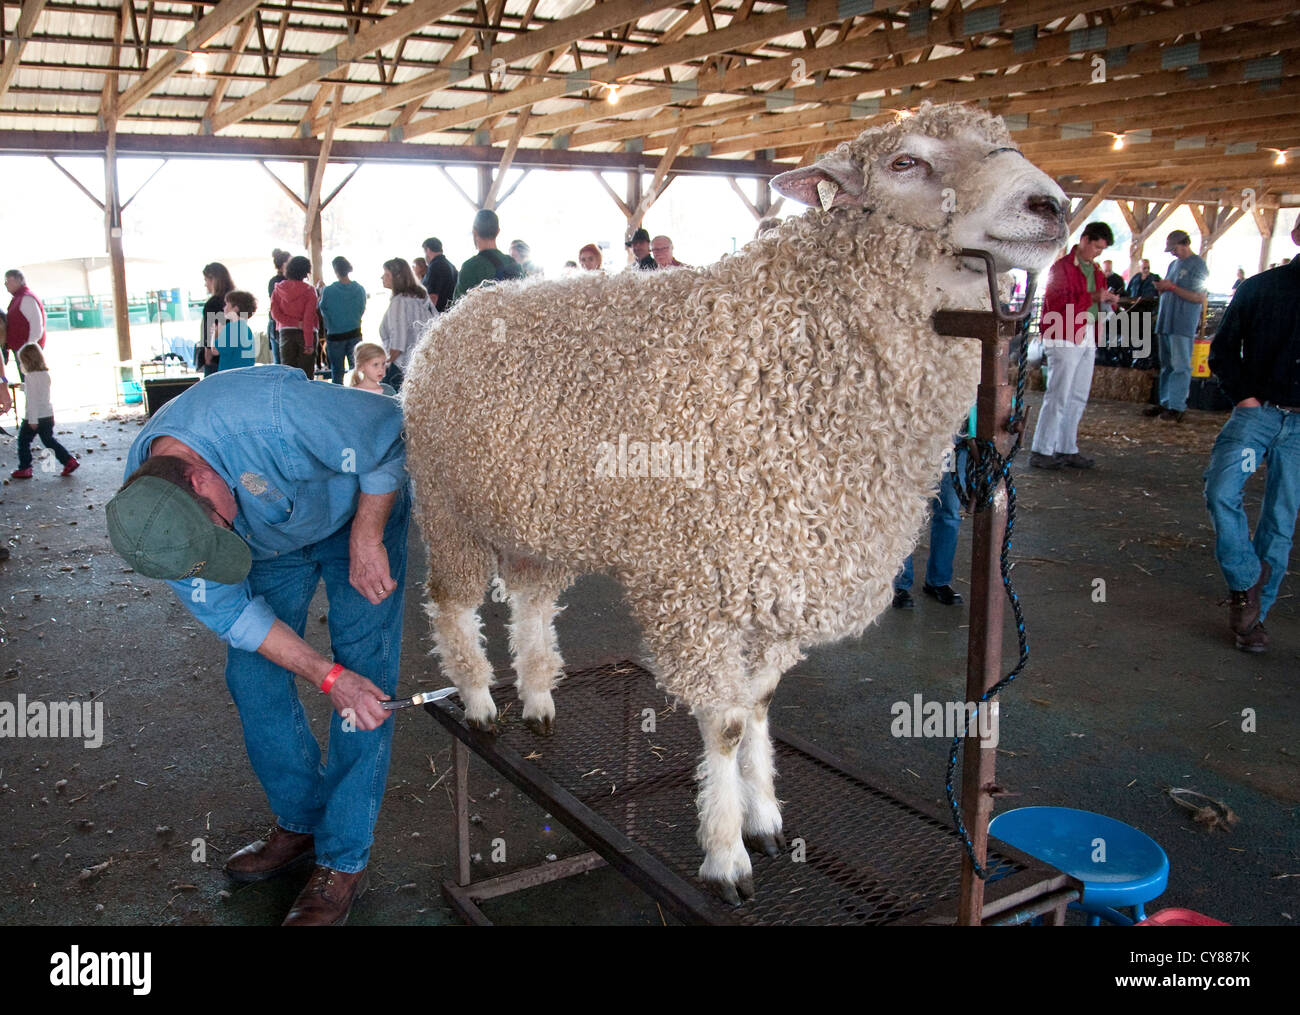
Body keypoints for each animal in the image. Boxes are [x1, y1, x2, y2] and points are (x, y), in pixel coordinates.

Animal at [403, 102, 1066, 904]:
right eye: (905, 162)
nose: (1050, 206)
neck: (784, 353)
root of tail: (458, 312)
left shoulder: (777, 576)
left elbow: (756, 708)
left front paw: (766, 817)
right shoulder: (695, 585)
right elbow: (722, 724)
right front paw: (725, 855)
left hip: (538, 516)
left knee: (530, 599)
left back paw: (536, 696)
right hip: (449, 507)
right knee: (451, 603)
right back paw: (478, 702)